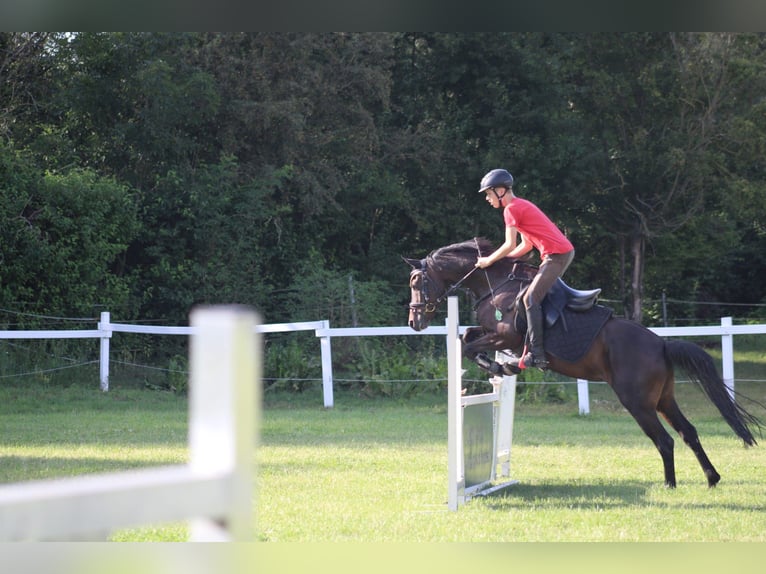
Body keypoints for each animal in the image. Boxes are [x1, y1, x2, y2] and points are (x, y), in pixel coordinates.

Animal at [404, 236, 764, 488]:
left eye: (416, 282)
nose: (414, 322)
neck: (497, 285)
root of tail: (661, 343)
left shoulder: (505, 336)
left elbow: (469, 345)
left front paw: (499, 366)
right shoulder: (493, 333)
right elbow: (467, 335)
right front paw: (499, 366)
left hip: (637, 402)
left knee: (665, 440)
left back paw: (669, 485)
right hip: (664, 399)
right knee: (689, 432)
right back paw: (711, 478)